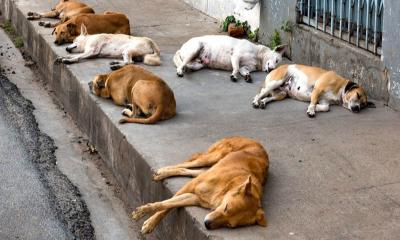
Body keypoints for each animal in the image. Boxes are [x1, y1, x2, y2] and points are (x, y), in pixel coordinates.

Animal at [132, 137, 268, 234]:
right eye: (226, 208)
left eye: (229, 225)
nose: (207, 224)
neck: (226, 188)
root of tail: (254, 140)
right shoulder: (190, 186)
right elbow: (164, 206)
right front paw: (148, 219)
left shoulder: (195, 198)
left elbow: (168, 205)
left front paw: (148, 219)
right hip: (212, 158)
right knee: (187, 164)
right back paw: (162, 171)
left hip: (209, 167)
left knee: (189, 170)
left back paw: (163, 173)